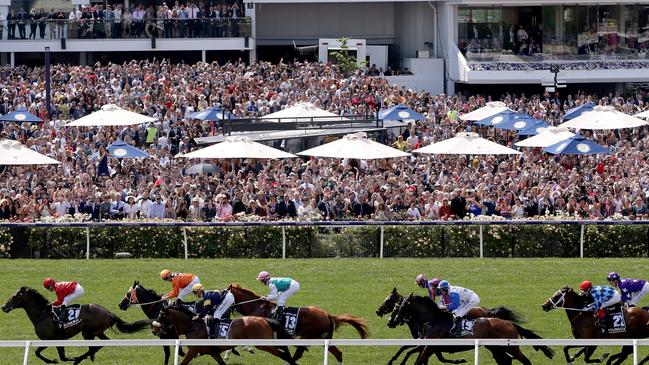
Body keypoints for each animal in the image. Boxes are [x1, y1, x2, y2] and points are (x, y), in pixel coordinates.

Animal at [152, 304, 296, 364]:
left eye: (160, 316)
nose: (154, 330)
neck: (193, 326)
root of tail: (265, 319)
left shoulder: (193, 351)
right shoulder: (214, 353)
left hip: (264, 344)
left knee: (284, 355)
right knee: (285, 353)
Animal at [228, 282, 370, 362]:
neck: (256, 306)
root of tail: (328, 315)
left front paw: (236, 352)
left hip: (308, 336)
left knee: (298, 355)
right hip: (323, 338)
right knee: (338, 353)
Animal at [388, 292, 556, 364]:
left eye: (401, 306)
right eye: (395, 306)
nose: (392, 321)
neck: (434, 320)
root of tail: (508, 323)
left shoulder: (430, 346)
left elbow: (417, 359)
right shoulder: (427, 345)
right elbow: (412, 353)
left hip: (510, 347)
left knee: (524, 360)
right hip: (495, 348)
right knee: (505, 360)